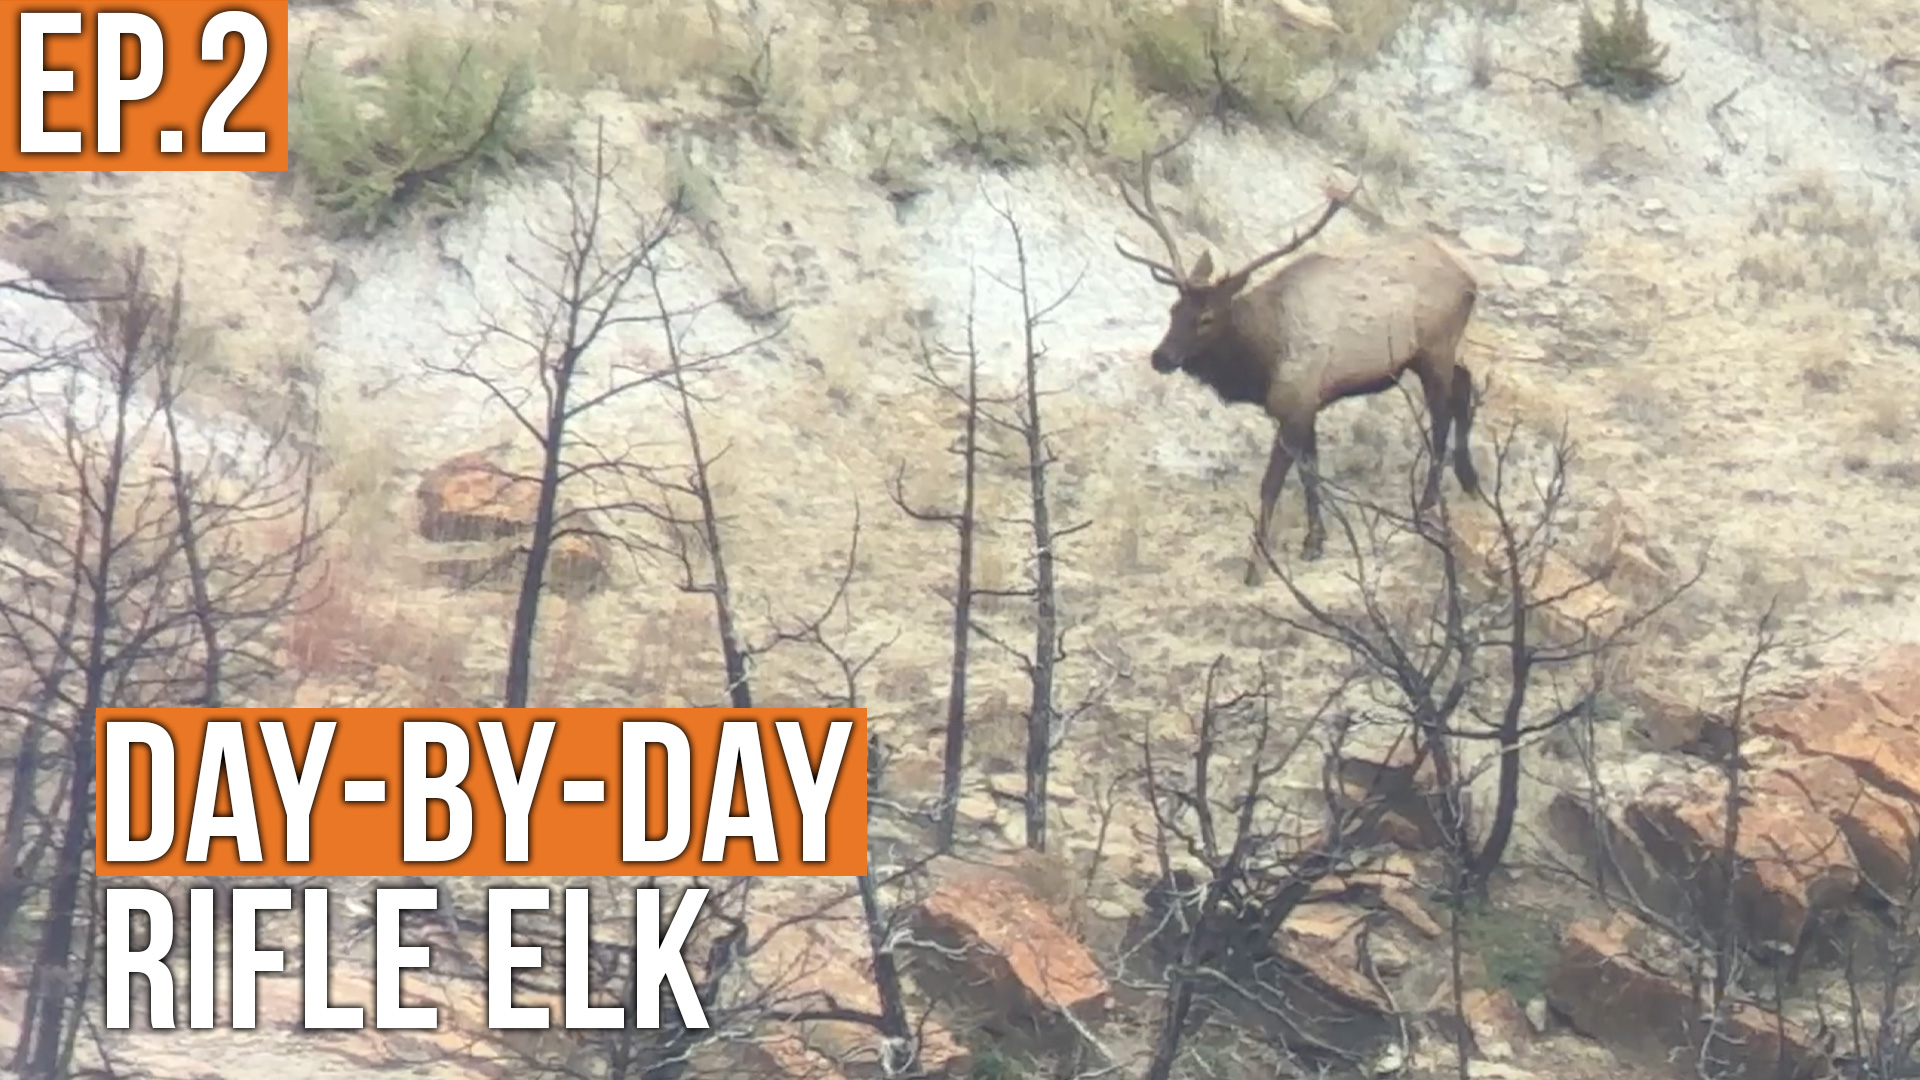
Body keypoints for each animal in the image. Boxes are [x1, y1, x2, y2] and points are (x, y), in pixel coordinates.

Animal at [1114, 134, 1484, 586]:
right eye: (1173, 310)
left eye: (1206, 318)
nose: (1161, 357)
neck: (1261, 360)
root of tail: (1470, 280)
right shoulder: (1308, 404)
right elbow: (1311, 471)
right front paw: (1314, 541)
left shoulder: (1294, 402)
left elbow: (1272, 484)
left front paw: (1256, 565)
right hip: (1435, 352)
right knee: (1465, 383)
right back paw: (1469, 480)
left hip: (1435, 347)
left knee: (1441, 414)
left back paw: (1429, 502)